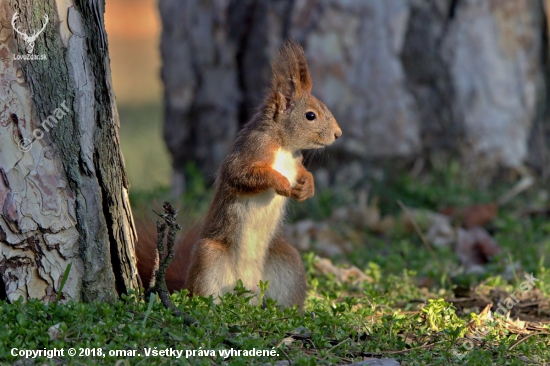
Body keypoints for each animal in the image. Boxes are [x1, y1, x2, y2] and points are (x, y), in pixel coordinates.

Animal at [136, 40, 342, 308]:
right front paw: (281, 182)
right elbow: (243, 175)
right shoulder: (248, 153)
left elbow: (302, 172)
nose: (338, 134)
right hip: (209, 259)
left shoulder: (296, 161)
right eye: (310, 115)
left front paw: (306, 187)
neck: (284, 146)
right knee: (201, 294)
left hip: (288, 263)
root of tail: (249, 287)